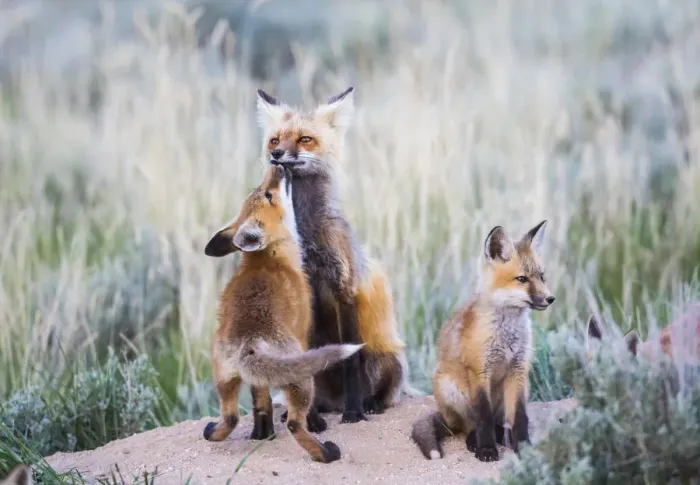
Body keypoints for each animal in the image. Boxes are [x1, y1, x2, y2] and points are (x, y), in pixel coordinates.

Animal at [202, 165, 363, 463]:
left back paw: (215, 431)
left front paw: (262, 434)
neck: (269, 257)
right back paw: (325, 450)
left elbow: (261, 402)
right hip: (299, 379)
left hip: (224, 379)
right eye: (268, 194)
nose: (277, 165)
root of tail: (249, 340)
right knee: (295, 423)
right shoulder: (304, 332)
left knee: (230, 417)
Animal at [254, 87, 419, 424]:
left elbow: (350, 361)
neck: (308, 237)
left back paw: (369, 404)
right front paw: (312, 419)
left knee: (387, 392)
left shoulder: (344, 287)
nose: (277, 155)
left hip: (385, 358)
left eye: (305, 139)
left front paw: (354, 413)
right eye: (275, 140)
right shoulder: (304, 295)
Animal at [411, 221, 555, 462]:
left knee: (499, 422)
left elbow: (520, 417)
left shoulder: (518, 370)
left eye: (542, 277)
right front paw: (487, 449)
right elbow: (483, 418)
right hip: (451, 389)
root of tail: (446, 417)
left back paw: (502, 436)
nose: (550, 298)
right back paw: (474, 441)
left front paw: (523, 447)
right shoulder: (479, 372)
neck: (506, 334)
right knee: (469, 425)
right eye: (522, 279)